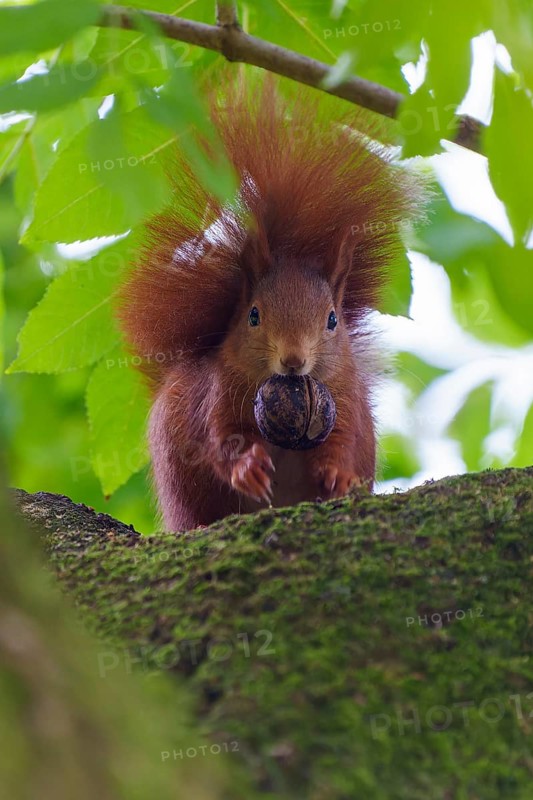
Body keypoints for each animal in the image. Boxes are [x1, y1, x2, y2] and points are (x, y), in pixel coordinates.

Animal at [117, 75, 427, 532]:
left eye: (332, 320)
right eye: (253, 315)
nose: (294, 360)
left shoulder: (346, 392)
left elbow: (344, 437)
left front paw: (338, 474)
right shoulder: (217, 392)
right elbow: (219, 438)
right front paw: (247, 468)